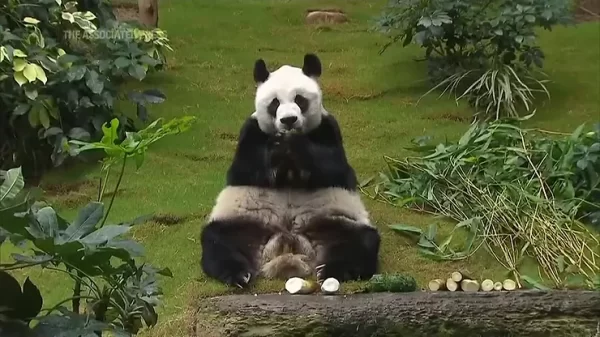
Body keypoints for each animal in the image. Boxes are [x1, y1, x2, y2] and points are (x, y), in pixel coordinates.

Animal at [202, 53, 380, 288]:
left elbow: (335, 168)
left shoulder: (327, 128)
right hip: (244, 222)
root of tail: (287, 248)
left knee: (361, 241)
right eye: (274, 103)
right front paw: (277, 148)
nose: (288, 120)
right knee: (218, 240)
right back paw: (239, 274)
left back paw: (331, 270)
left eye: (299, 100)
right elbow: (246, 167)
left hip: (335, 221)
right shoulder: (251, 131)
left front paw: (296, 146)